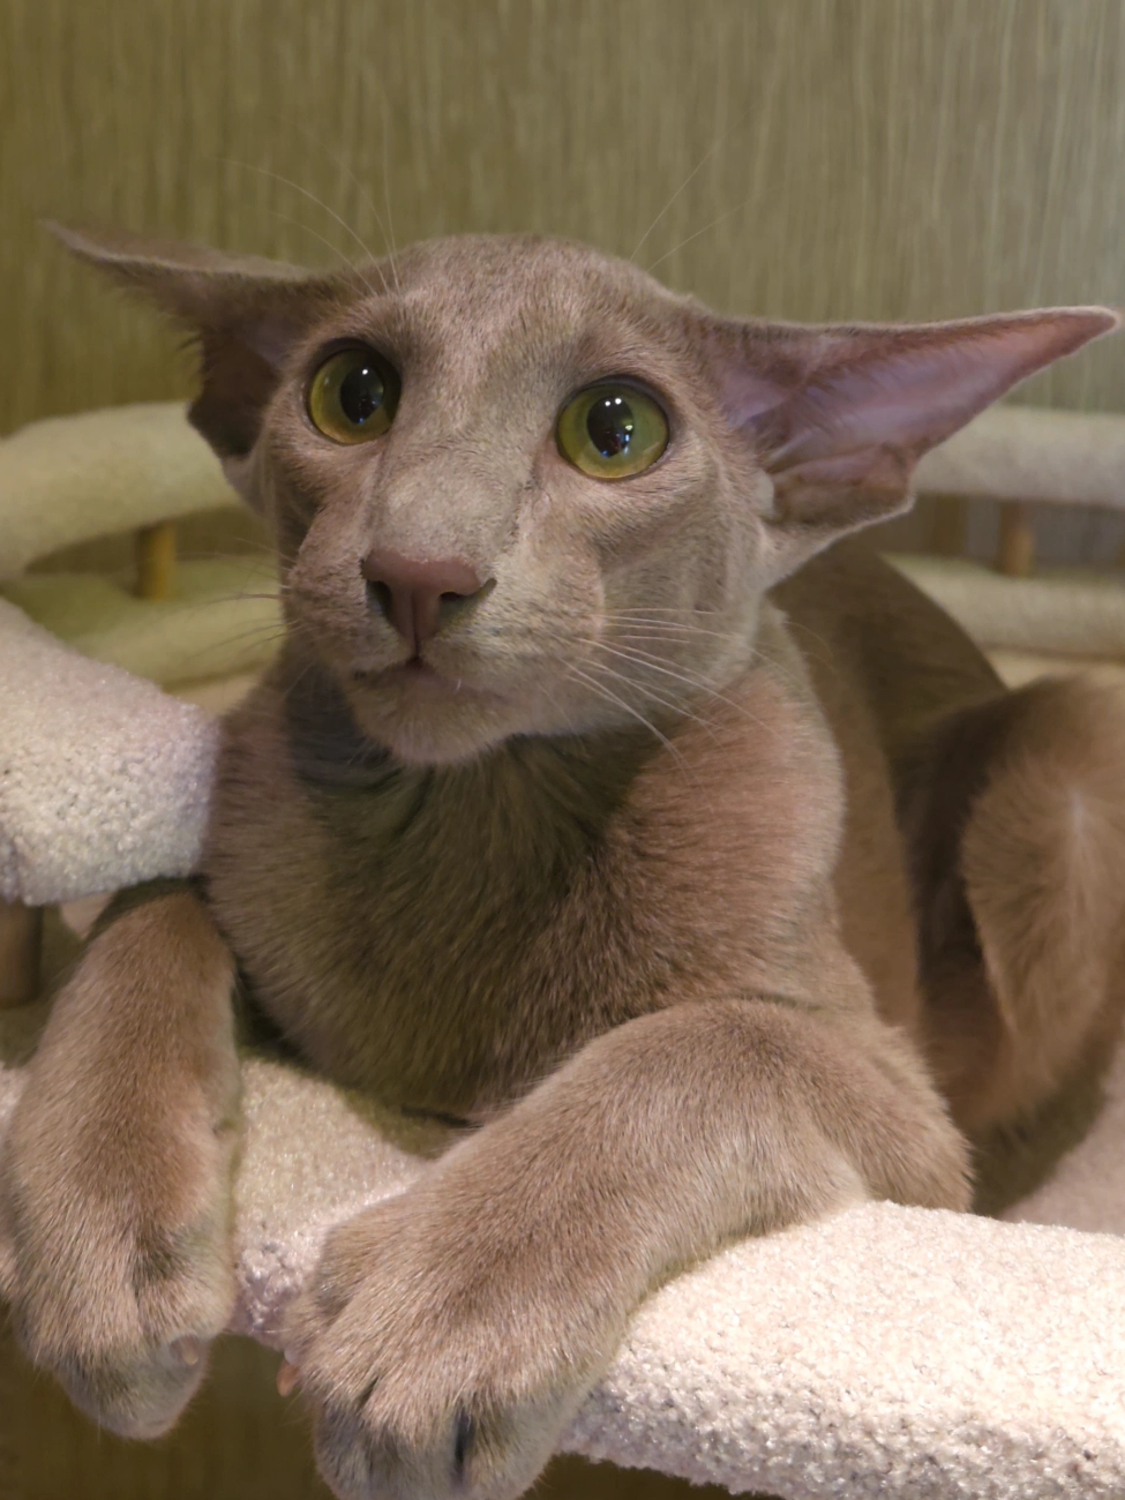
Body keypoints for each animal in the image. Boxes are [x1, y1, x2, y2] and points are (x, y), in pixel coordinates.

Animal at [2, 225, 1125, 1500]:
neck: (479, 811)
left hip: (1063, 773)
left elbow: (703, 1044)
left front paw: (435, 1325)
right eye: (353, 393)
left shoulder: (890, 1094)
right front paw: (98, 1227)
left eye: (616, 429)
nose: (418, 568)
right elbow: (151, 907)